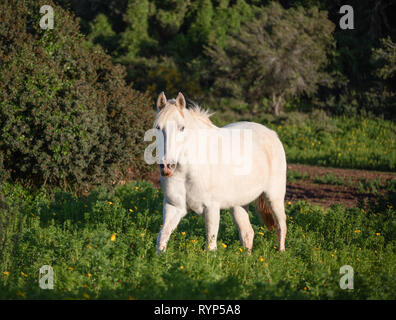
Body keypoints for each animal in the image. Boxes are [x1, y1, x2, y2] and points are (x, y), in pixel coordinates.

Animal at [153, 91, 286, 254]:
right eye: (158, 127)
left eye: (182, 127)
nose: (167, 166)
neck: (188, 172)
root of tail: (272, 133)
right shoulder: (174, 207)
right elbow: (162, 237)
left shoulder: (211, 208)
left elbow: (211, 245)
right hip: (239, 204)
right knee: (247, 233)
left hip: (274, 197)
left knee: (281, 225)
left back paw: (281, 254)